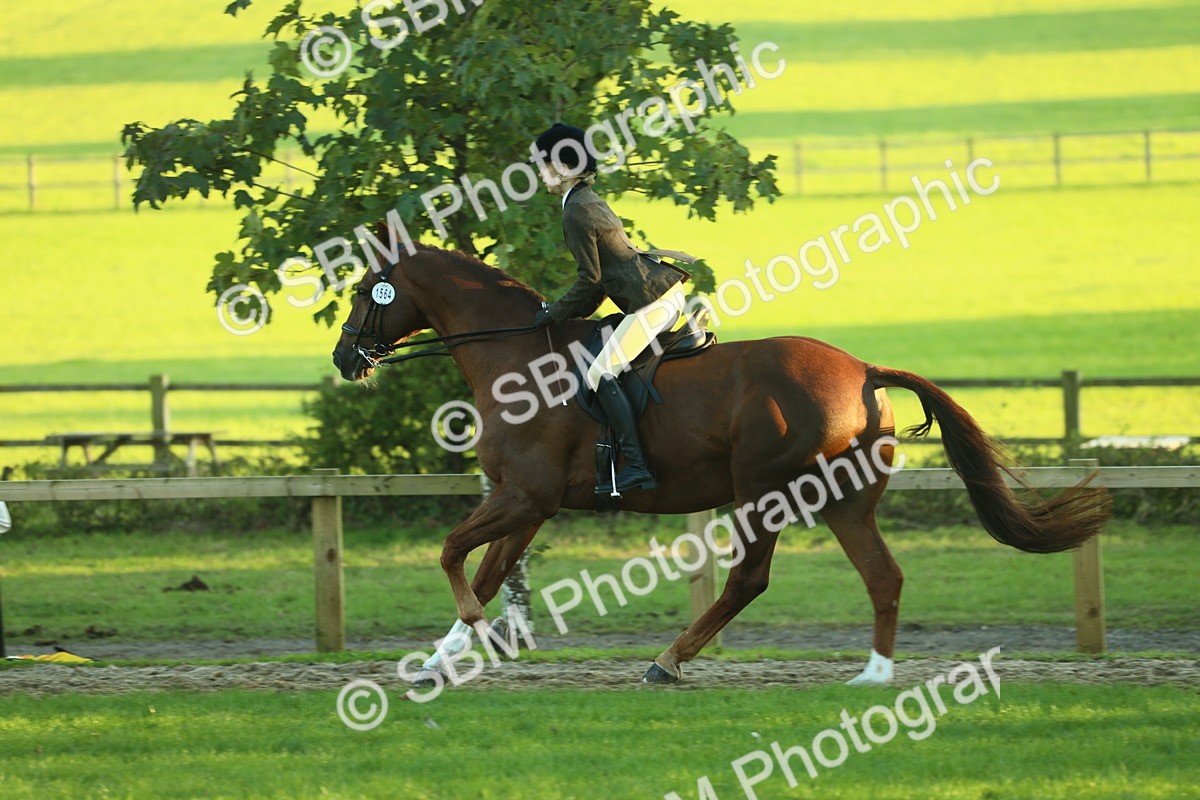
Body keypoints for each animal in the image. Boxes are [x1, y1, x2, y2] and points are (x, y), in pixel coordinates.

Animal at [330, 243, 1111, 685]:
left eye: (367, 291)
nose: (344, 358)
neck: (516, 357)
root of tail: (862, 369)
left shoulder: (525, 497)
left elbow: (452, 555)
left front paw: (477, 637)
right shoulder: (528, 502)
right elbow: (488, 572)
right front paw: (439, 660)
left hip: (761, 493)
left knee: (749, 579)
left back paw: (669, 662)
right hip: (844, 499)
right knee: (882, 577)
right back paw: (874, 676)